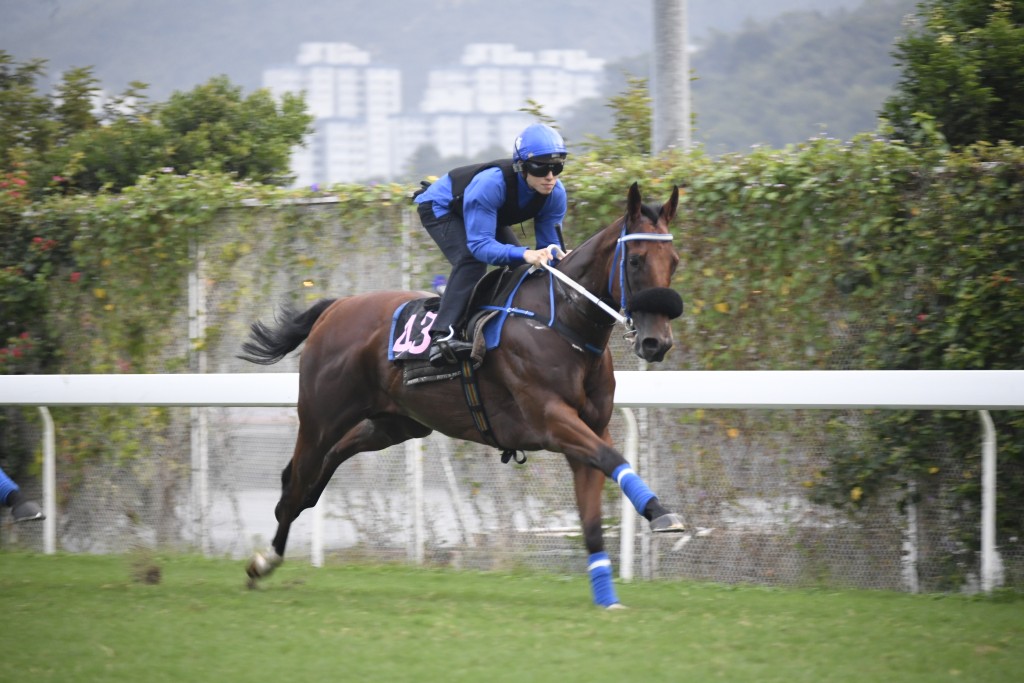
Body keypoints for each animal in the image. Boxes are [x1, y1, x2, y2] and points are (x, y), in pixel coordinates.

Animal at [240, 181, 688, 610]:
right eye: (635, 260)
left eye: (674, 261)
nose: (657, 342)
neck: (560, 322)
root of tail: (335, 308)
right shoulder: (551, 419)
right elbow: (614, 459)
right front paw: (663, 514)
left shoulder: (590, 428)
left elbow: (594, 517)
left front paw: (608, 598)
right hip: (321, 417)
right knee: (296, 478)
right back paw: (265, 561)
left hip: (394, 424)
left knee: (328, 461)